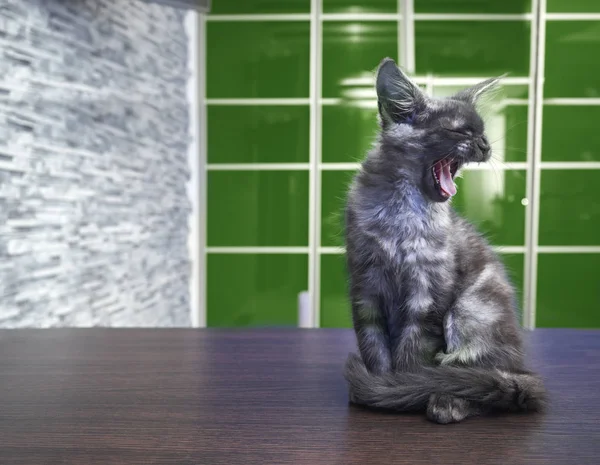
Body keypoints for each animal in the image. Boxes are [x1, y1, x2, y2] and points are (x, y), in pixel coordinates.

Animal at [342, 56, 544, 422]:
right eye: (461, 131)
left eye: (482, 132)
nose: (486, 145)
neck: (402, 213)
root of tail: (518, 363)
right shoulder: (366, 286)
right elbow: (373, 346)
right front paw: (378, 387)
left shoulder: (428, 293)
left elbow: (413, 354)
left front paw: (398, 389)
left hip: (470, 309)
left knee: (480, 376)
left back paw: (447, 402)